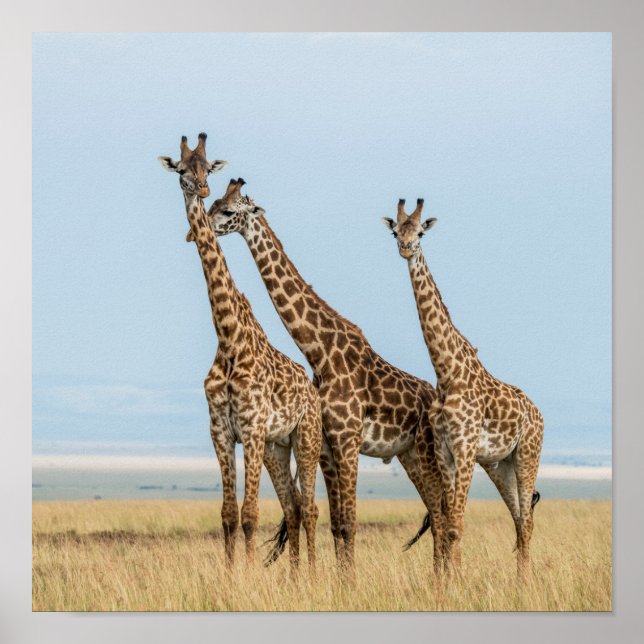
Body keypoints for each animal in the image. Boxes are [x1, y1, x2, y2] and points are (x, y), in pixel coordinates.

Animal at [158, 134, 322, 572]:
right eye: (182, 168)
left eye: (207, 169)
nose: (200, 190)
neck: (229, 338)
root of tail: (313, 388)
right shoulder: (220, 431)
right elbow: (229, 515)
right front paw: (232, 574)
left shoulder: (250, 429)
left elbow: (250, 514)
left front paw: (248, 576)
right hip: (276, 447)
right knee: (293, 506)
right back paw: (295, 576)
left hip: (306, 437)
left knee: (311, 507)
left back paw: (314, 575)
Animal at [203, 179, 446, 577]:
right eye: (212, 204)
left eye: (227, 210)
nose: (203, 227)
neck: (320, 352)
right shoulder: (329, 447)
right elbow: (336, 522)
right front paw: (341, 579)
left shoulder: (348, 440)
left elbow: (349, 521)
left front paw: (350, 582)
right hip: (408, 455)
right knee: (438, 513)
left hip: (427, 453)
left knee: (442, 513)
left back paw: (443, 578)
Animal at [382, 198, 544, 575]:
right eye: (396, 231)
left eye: (421, 232)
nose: (405, 248)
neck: (447, 373)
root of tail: (539, 413)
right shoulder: (445, 450)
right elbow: (449, 523)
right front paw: (450, 579)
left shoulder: (466, 447)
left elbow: (456, 524)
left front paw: (457, 582)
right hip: (501, 465)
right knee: (519, 519)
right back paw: (520, 581)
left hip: (528, 453)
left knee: (527, 520)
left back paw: (526, 582)